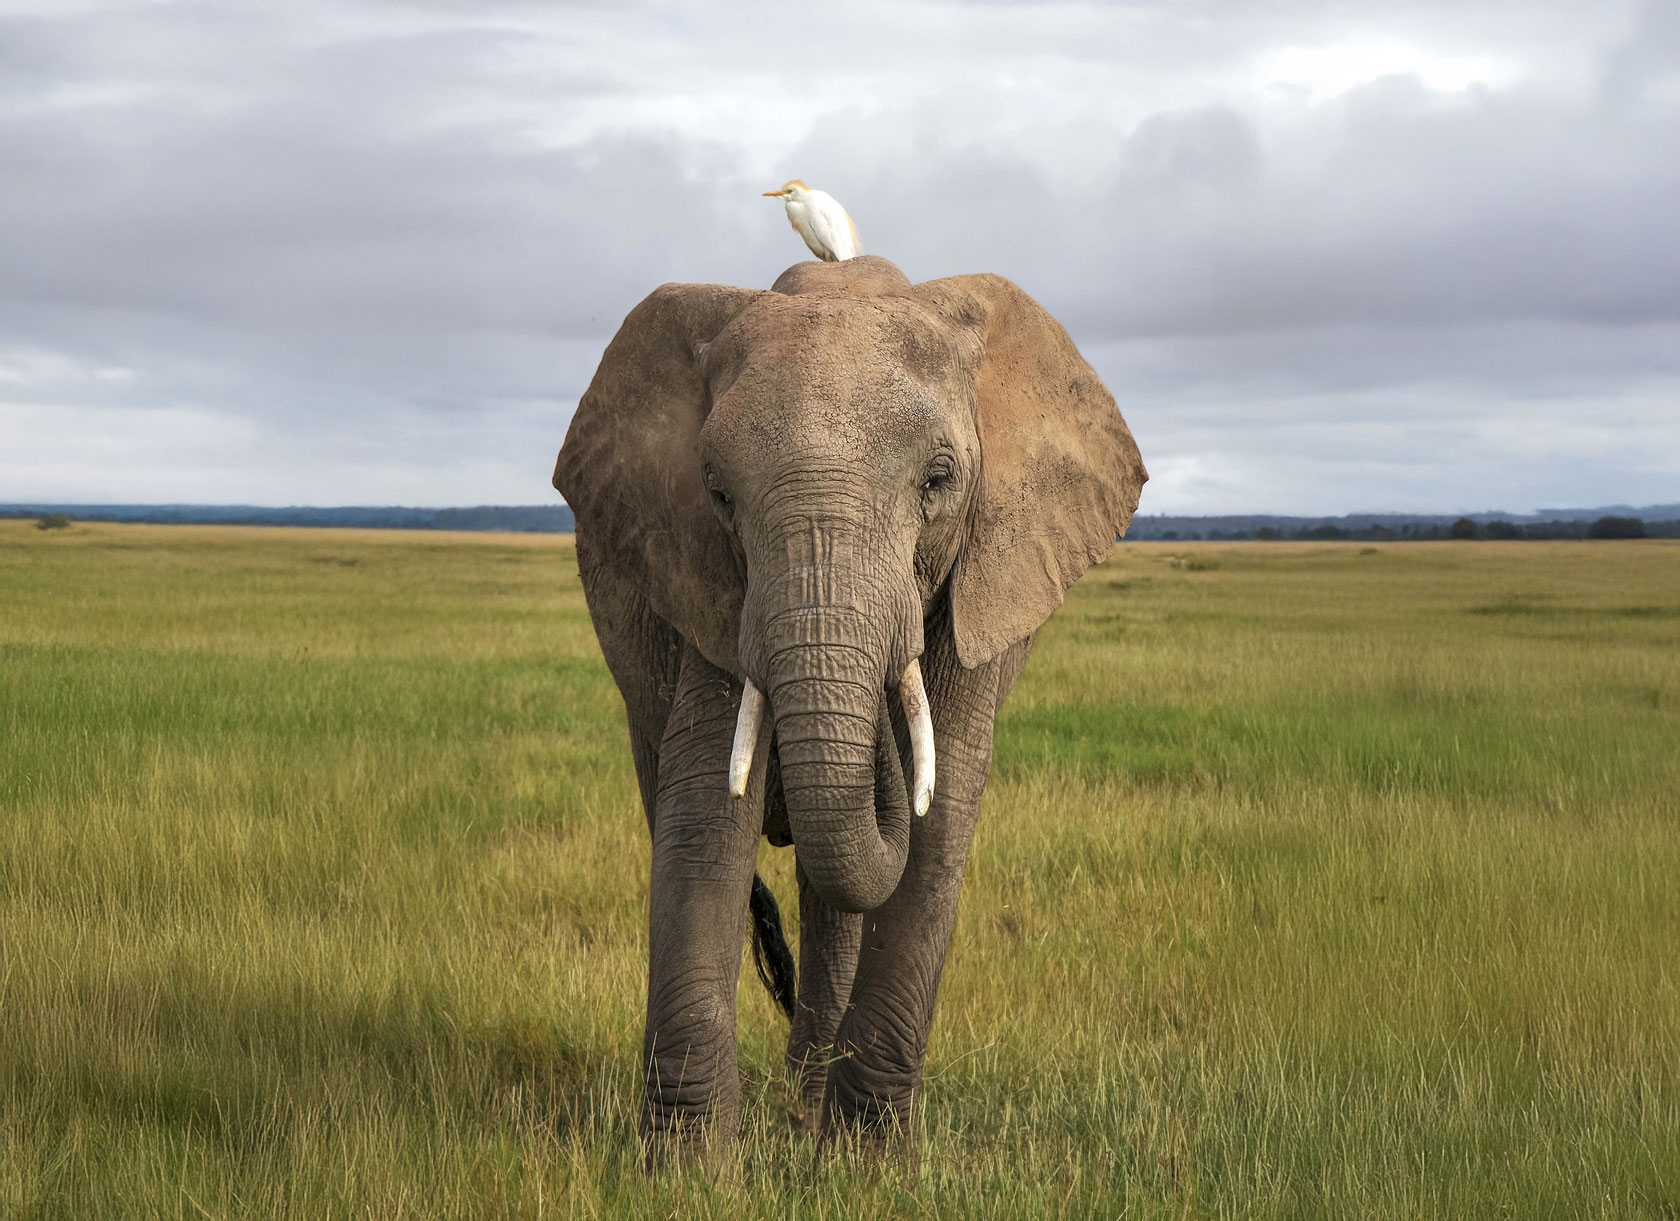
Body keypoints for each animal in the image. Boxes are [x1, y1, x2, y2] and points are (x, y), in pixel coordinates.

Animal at [557, 253, 1149, 1162]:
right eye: (717, 492)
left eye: (939, 480)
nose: (874, 728)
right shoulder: (705, 577)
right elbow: (703, 814)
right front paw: (687, 1171)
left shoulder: (986, 572)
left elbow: (942, 815)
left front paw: (866, 1163)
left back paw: (806, 1110)